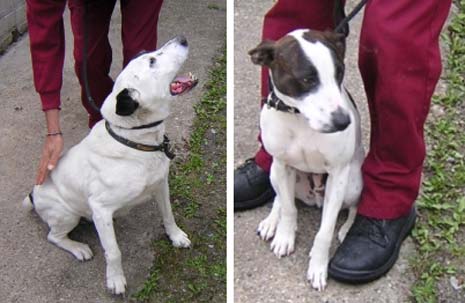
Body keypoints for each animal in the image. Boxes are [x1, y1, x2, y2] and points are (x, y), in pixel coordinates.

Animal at [22, 35, 196, 294]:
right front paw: (115, 279)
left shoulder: (160, 185)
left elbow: (168, 215)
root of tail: (33, 194)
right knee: (54, 237)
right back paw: (78, 248)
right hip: (65, 214)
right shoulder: (101, 208)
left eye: (149, 54)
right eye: (152, 61)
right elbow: (113, 251)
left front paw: (175, 236)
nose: (182, 38)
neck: (136, 142)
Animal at [248, 29, 364, 292]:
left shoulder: (338, 176)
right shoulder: (282, 165)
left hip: (353, 184)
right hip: (274, 172)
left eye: (339, 73)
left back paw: (348, 229)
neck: (300, 119)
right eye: (307, 80)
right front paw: (284, 236)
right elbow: (289, 209)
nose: (343, 122)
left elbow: (325, 231)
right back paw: (272, 221)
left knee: (354, 207)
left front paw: (318, 267)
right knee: (281, 197)